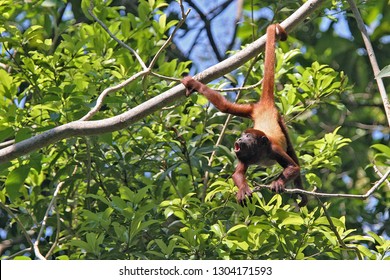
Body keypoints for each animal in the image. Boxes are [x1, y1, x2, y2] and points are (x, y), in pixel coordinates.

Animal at [181, 24, 308, 207]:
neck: (258, 153)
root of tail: (265, 106)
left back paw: (301, 194)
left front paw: (278, 183)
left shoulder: (274, 149)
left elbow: (294, 167)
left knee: (292, 152)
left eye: (248, 137)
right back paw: (195, 85)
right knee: (225, 106)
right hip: (251, 109)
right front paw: (243, 190)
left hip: (276, 117)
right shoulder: (243, 156)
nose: (240, 138)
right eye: (243, 135)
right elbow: (237, 174)